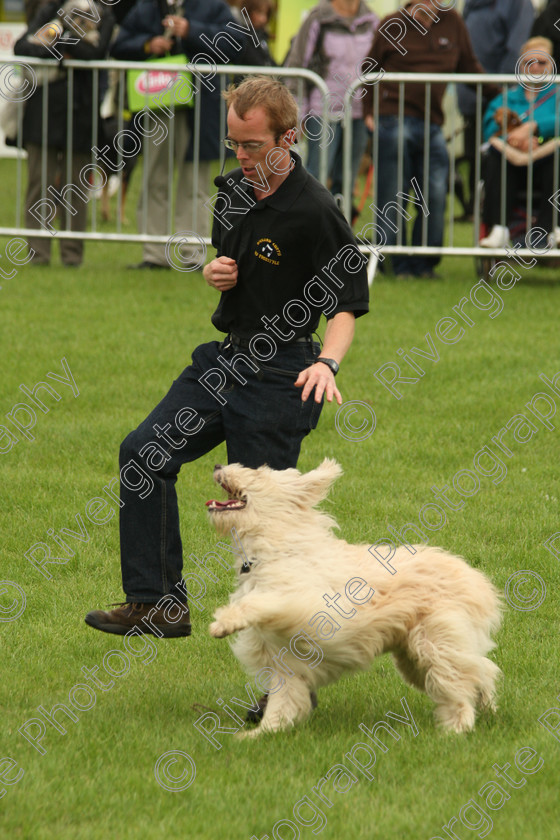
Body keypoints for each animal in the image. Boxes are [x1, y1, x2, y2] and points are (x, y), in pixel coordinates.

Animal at [207, 460, 504, 736]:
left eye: (257, 472)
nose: (218, 464)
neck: (278, 548)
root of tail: (477, 581)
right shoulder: (285, 663)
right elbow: (283, 703)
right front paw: (261, 734)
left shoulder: (307, 606)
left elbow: (259, 601)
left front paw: (224, 622)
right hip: (414, 657)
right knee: (480, 668)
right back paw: (487, 708)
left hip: (434, 643)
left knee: (461, 683)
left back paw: (456, 729)